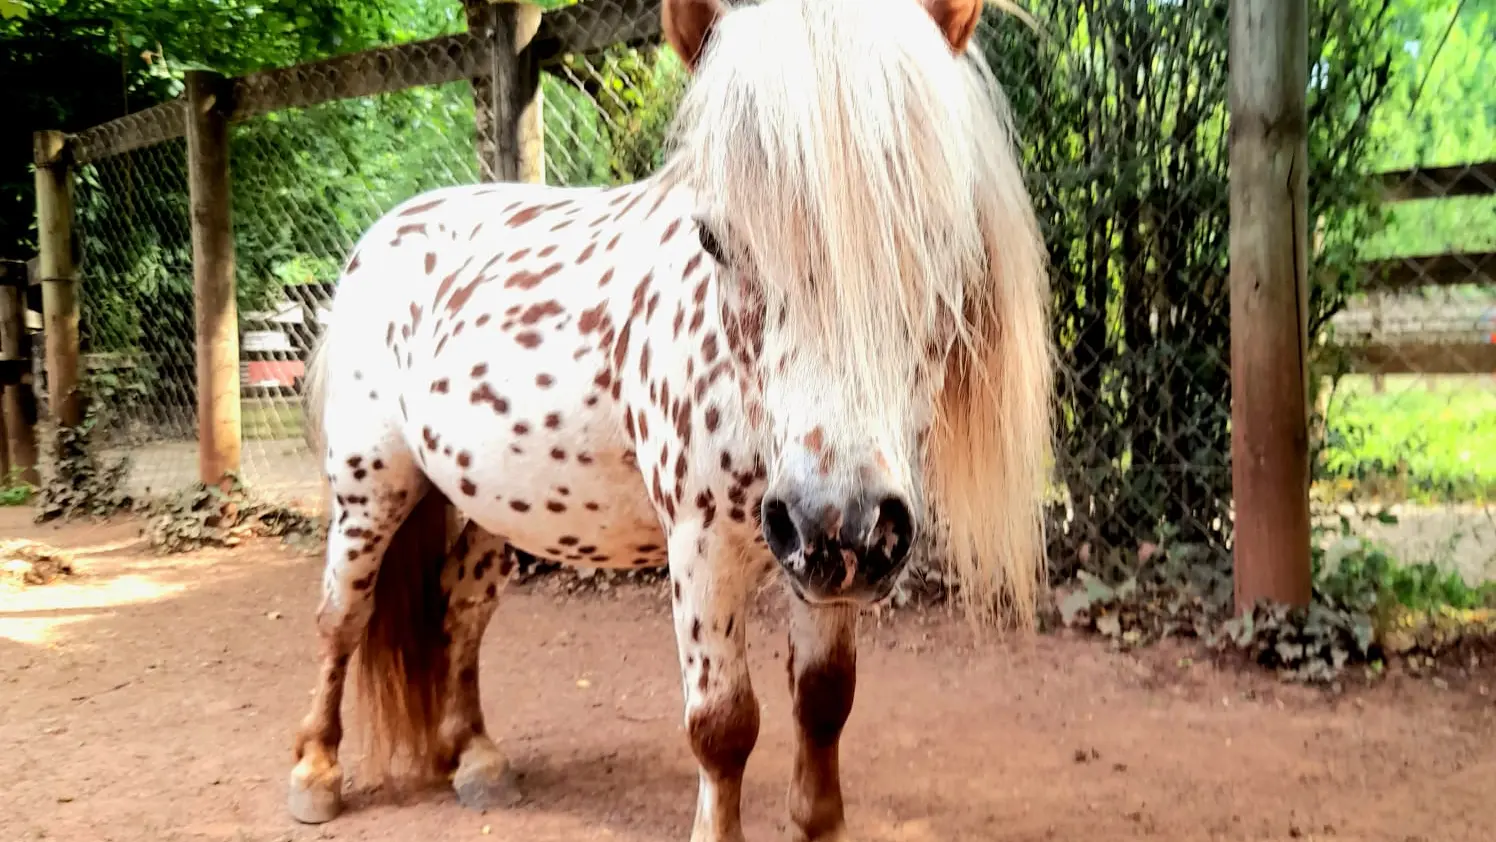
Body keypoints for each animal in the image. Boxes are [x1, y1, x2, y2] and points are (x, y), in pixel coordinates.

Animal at [287, 0, 1053, 837]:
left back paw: (477, 758)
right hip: (370, 490)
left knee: (462, 605)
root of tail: (383, 235)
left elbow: (824, 702)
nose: (842, 526)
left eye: (942, 229)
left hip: (485, 504)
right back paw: (316, 772)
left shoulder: (817, 571)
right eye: (714, 237)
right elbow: (723, 727)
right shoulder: (702, 549)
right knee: (340, 617)